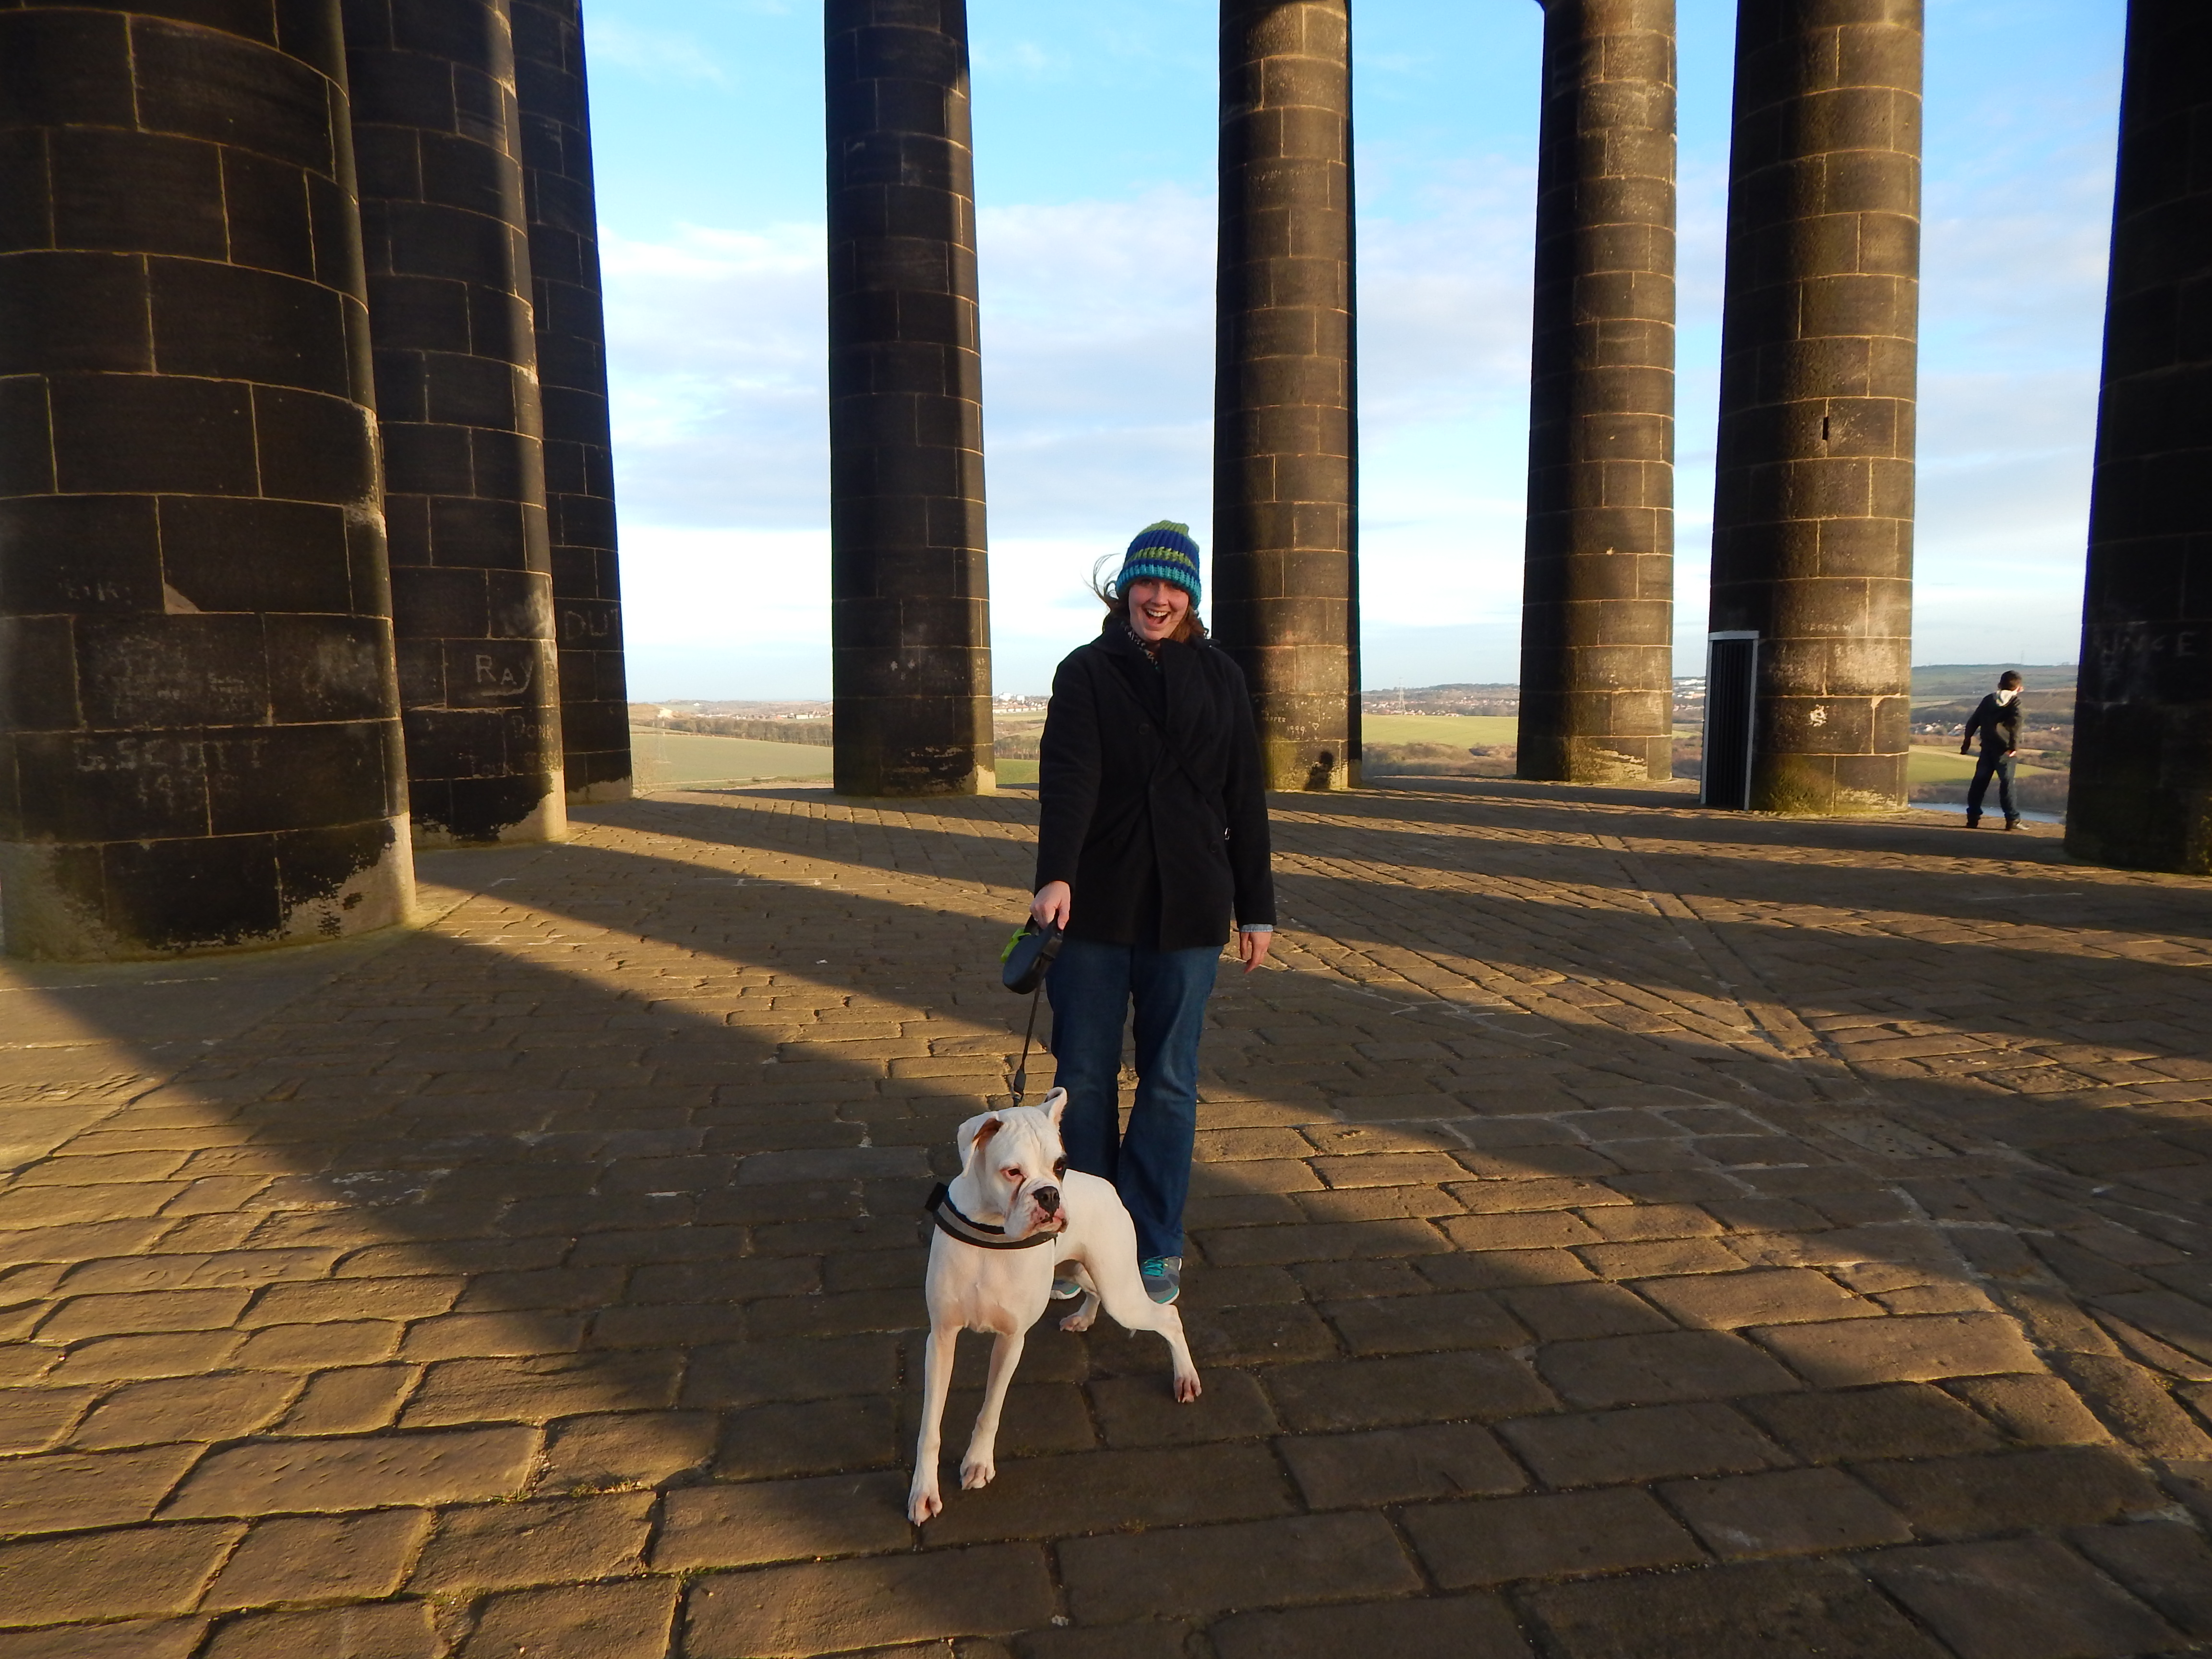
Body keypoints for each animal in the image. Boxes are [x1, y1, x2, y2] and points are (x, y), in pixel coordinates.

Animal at [908, 1088, 1200, 1525]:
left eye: (1060, 1166)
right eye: (1012, 1172)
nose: (1049, 1194)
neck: (992, 1230)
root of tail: (1106, 1185)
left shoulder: (1011, 1341)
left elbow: (990, 1410)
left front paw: (978, 1463)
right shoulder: (941, 1340)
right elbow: (929, 1425)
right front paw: (924, 1491)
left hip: (1122, 1292)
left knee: (1169, 1317)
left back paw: (1185, 1377)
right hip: (1083, 1270)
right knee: (1094, 1293)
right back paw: (1082, 1319)